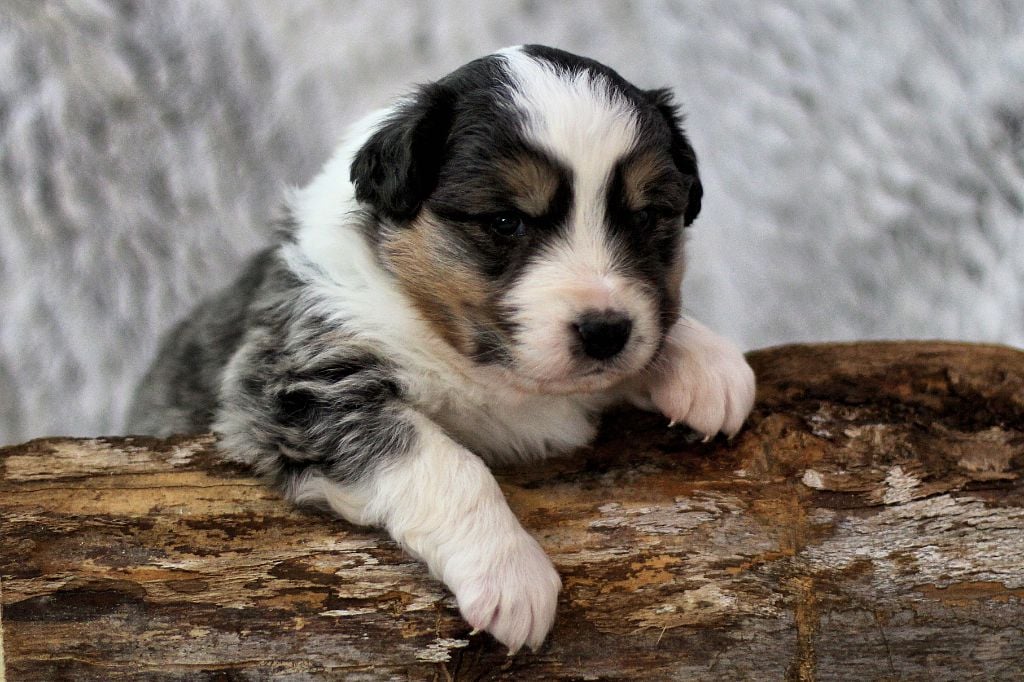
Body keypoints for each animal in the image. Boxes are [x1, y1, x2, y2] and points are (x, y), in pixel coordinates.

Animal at [129, 45, 756, 653]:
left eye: (649, 217)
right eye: (505, 221)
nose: (606, 331)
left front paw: (709, 365)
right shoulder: (295, 384)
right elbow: (447, 462)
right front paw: (511, 575)